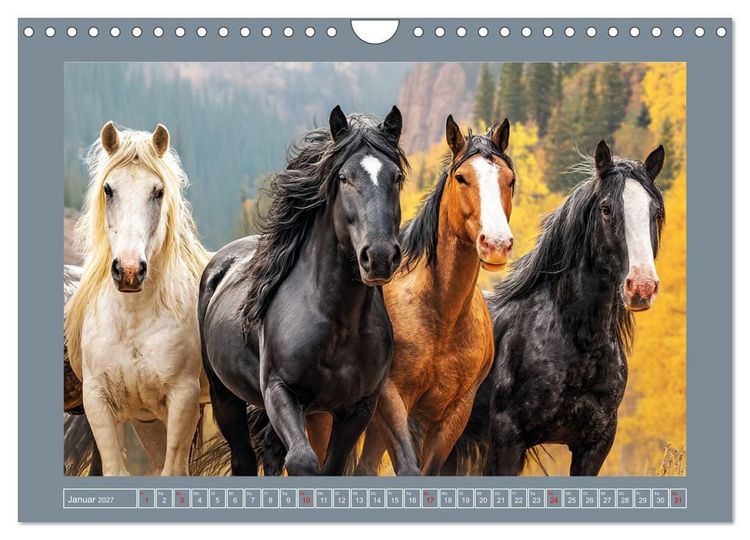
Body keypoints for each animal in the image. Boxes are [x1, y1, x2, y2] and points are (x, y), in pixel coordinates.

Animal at [64, 121, 210, 476]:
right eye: (108, 189)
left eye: (158, 191)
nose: (129, 271)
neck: (133, 322)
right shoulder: (99, 403)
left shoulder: (183, 400)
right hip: (148, 421)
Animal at [197, 106, 407, 476]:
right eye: (344, 177)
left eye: (396, 177)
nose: (380, 256)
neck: (338, 322)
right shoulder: (280, 392)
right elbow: (302, 461)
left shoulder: (357, 409)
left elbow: (331, 466)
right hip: (225, 397)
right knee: (244, 458)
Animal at [327, 116, 515, 476]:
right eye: (461, 178)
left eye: (509, 180)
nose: (496, 244)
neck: (441, 317)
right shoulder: (391, 399)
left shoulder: (453, 414)